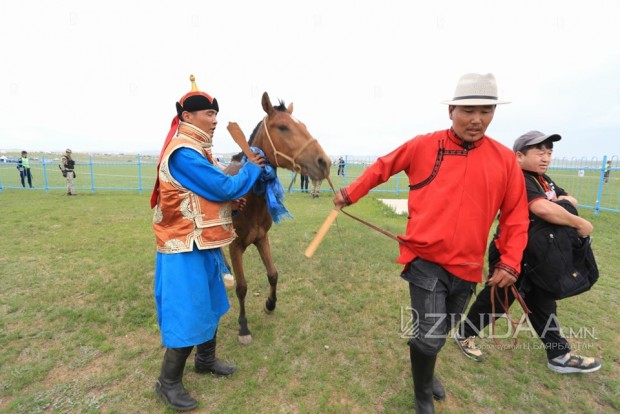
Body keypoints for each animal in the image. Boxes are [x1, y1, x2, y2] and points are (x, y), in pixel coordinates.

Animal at [225, 92, 331, 344]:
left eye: (303, 126)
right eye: (283, 127)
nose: (324, 162)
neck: (249, 200)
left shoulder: (262, 238)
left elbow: (273, 274)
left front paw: (270, 303)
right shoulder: (235, 246)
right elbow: (242, 287)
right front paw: (243, 327)